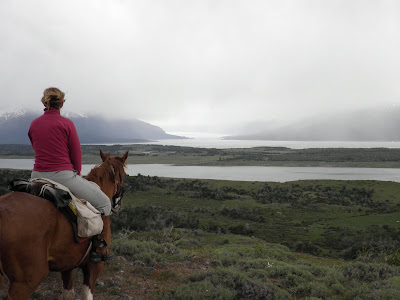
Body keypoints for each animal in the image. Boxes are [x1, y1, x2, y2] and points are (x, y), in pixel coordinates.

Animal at [0, 150, 128, 300]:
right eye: (124, 175)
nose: (118, 206)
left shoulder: (67, 264)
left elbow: (68, 294)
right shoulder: (94, 266)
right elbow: (86, 295)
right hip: (26, 281)